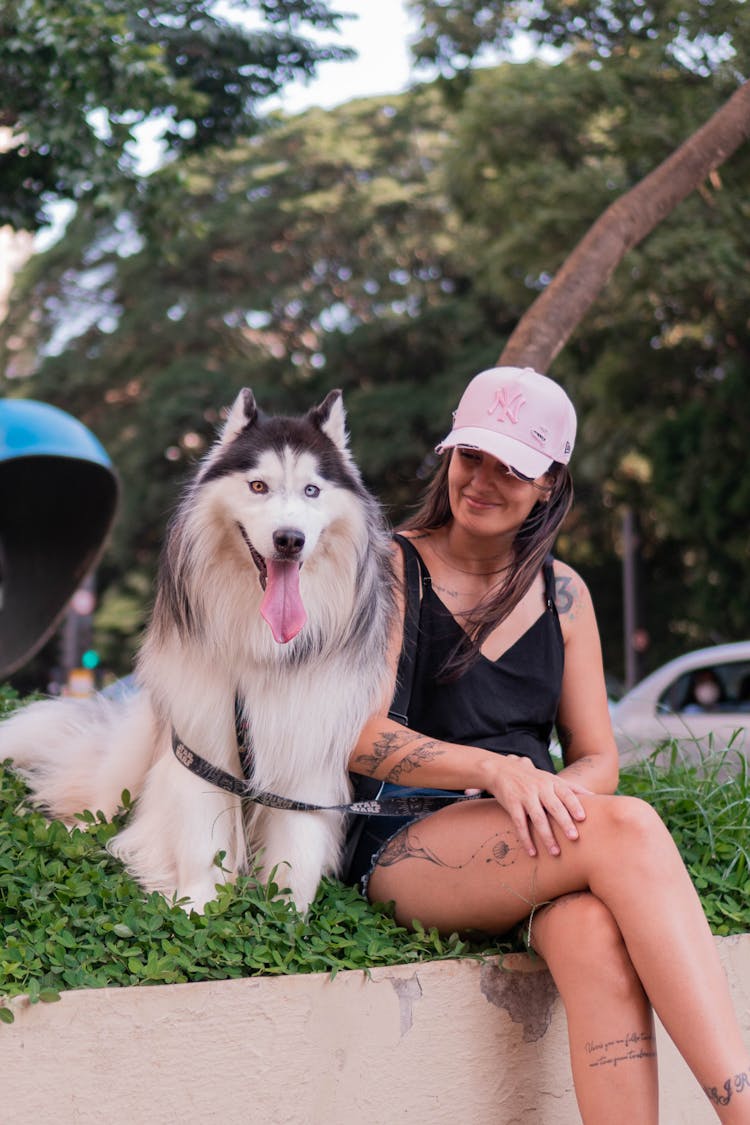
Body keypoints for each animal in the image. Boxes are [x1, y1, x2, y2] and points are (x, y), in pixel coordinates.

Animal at [0, 389, 395, 913]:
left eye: (312, 490)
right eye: (257, 486)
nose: (290, 540)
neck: (262, 647)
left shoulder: (307, 743)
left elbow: (296, 849)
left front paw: (286, 914)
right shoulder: (201, 738)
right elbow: (203, 840)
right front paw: (197, 906)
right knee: (97, 800)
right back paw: (76, 830)